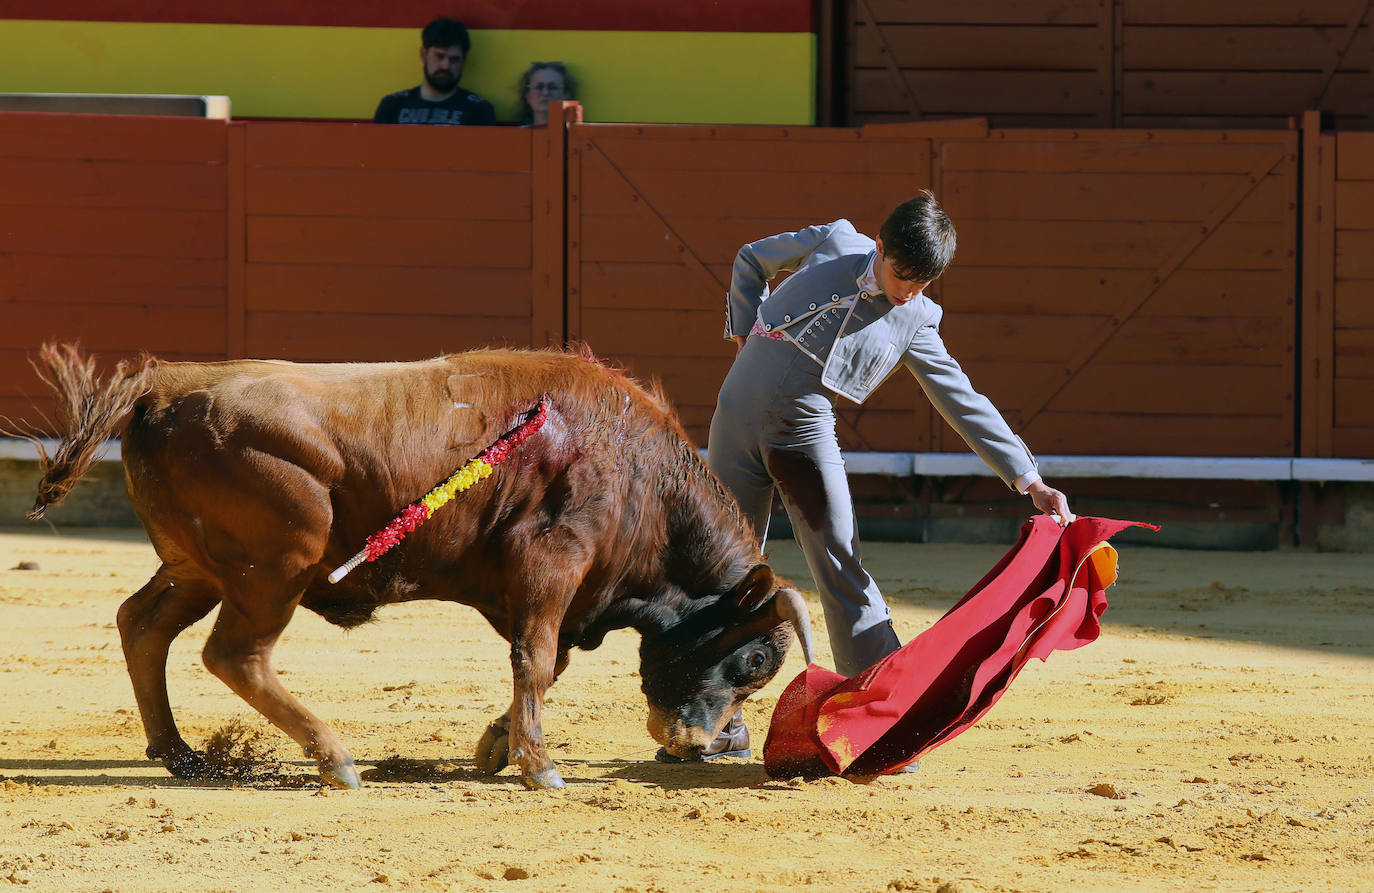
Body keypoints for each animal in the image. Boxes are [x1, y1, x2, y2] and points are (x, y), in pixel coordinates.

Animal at [26, 340, 807, 785]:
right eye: (753, 660)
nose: (701, 743)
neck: (638, 473)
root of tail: (164, 384)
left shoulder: (530, 586)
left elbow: (546, 662)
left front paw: (498, 746)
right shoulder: (552, 561)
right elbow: (537, 658)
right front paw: (540, 766)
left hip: (198, 566)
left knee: (143, 624)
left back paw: (179, 752)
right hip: (275, 565)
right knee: (234, 654)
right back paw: (334, 759)